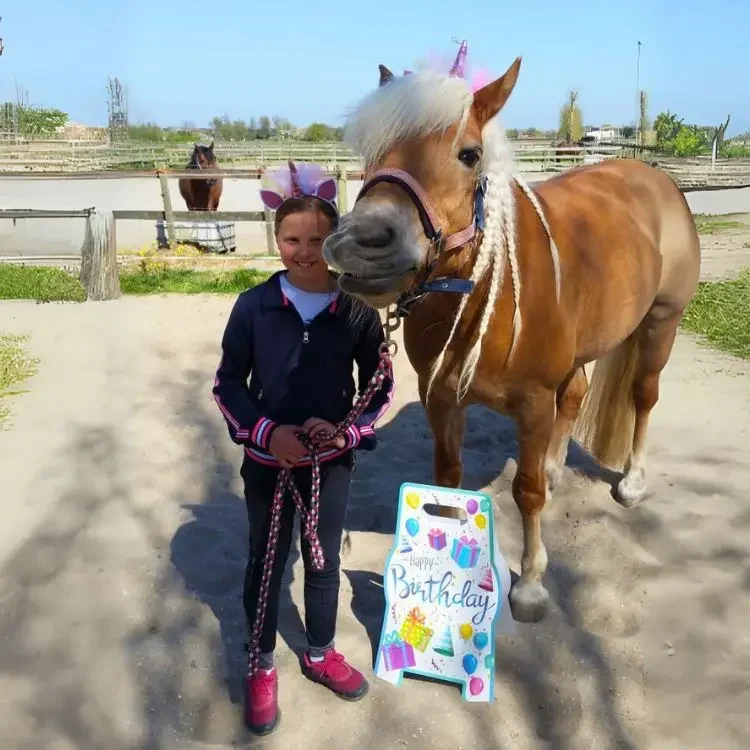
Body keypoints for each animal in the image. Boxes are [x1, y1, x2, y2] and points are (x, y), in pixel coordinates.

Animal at [322, 55, 701, 624]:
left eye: (469, 154)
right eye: (372, 152)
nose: (360, 245)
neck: (481, 295)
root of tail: (656, 177)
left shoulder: (533, 404)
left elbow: (526, 492)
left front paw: (531, 585)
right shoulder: (441, 399)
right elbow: (448, 480)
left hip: (661, 322)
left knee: (643, 396)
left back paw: (632, 481)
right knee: (577, 394)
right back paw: (556, 466)